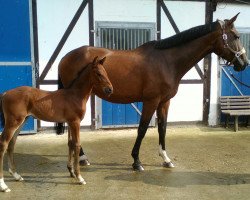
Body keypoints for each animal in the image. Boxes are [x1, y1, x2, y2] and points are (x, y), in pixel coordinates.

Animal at [0, 56, 112, 192]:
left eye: (106, 72)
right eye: (98, 73)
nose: (110, 89)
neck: (75, 95)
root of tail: (5, 93)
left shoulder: (70, 122)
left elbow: (70, 144)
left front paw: (72, 172)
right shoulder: (75, 122)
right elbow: (77, 145)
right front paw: (79, 177)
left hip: (21, 121)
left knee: (12, 143)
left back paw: (16, 175)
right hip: (13, 122)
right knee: (3, 144)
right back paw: (3, 185)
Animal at [57, 15, 248, 171]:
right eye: (236, 36)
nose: (244, 63)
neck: (167, 61)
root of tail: (65, 58)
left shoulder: (164, 101)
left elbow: (163, 128)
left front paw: (166, 159)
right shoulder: (151, 101)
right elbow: (142, 129)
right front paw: (136, 161)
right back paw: (82, 157)